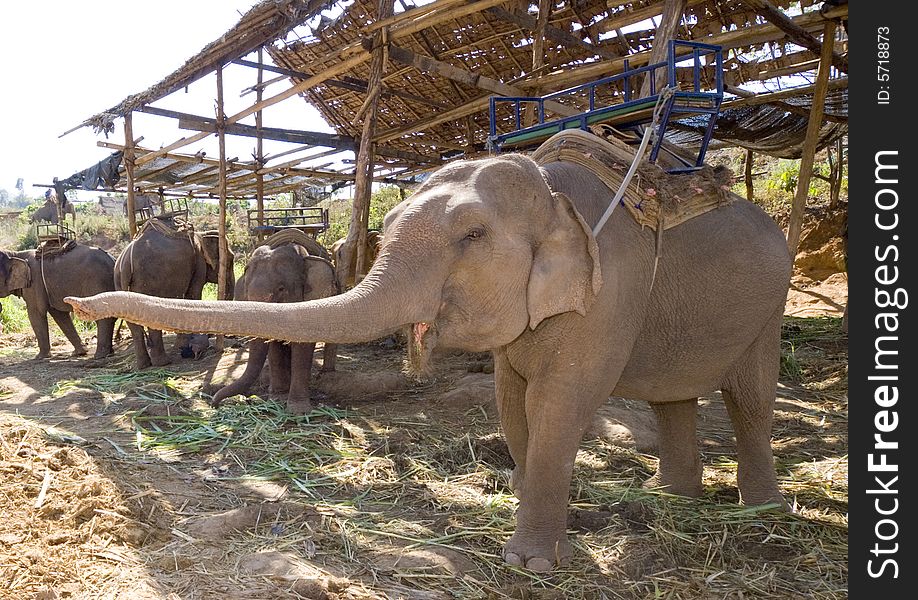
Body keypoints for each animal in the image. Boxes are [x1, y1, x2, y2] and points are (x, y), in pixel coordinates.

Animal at [115, 220, 235, 370]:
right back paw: (163, 362)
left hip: (120, 282)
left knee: (132, 323)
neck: (201, 235)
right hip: (150, 281)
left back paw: (144, 365)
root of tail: (126, 263)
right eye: (231, 260)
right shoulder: (198, 264)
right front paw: (184, 344)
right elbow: (193, 295)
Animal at [213, 239, 342, 412]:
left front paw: (298, 410)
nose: (215, 404)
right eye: (247, 293)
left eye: (281, 289)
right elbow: (274, 346)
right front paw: (277, 400)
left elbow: (302, 348)